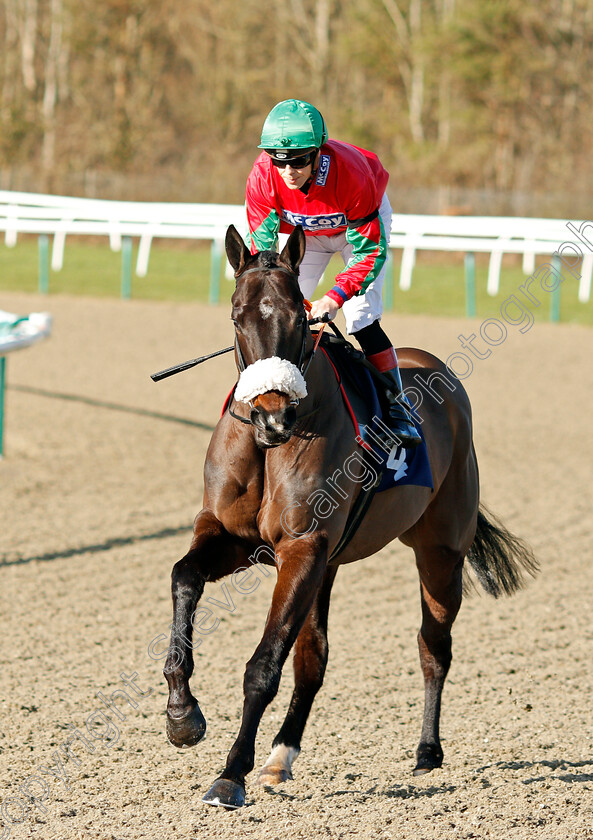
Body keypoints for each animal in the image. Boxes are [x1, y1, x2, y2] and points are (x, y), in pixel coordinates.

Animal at [163, 223, 536, 808]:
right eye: (237, 316)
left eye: (299, 318)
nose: (273, 416)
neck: (272, 445)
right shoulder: (232, 536)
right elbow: (185, 576)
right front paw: (183, 716)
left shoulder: (301, 547)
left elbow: (262, 666)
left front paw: (230, 773)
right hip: (328, 568)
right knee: (313, 659)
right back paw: (280, 758)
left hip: (439, 551)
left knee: (433, 647)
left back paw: (427, 751)